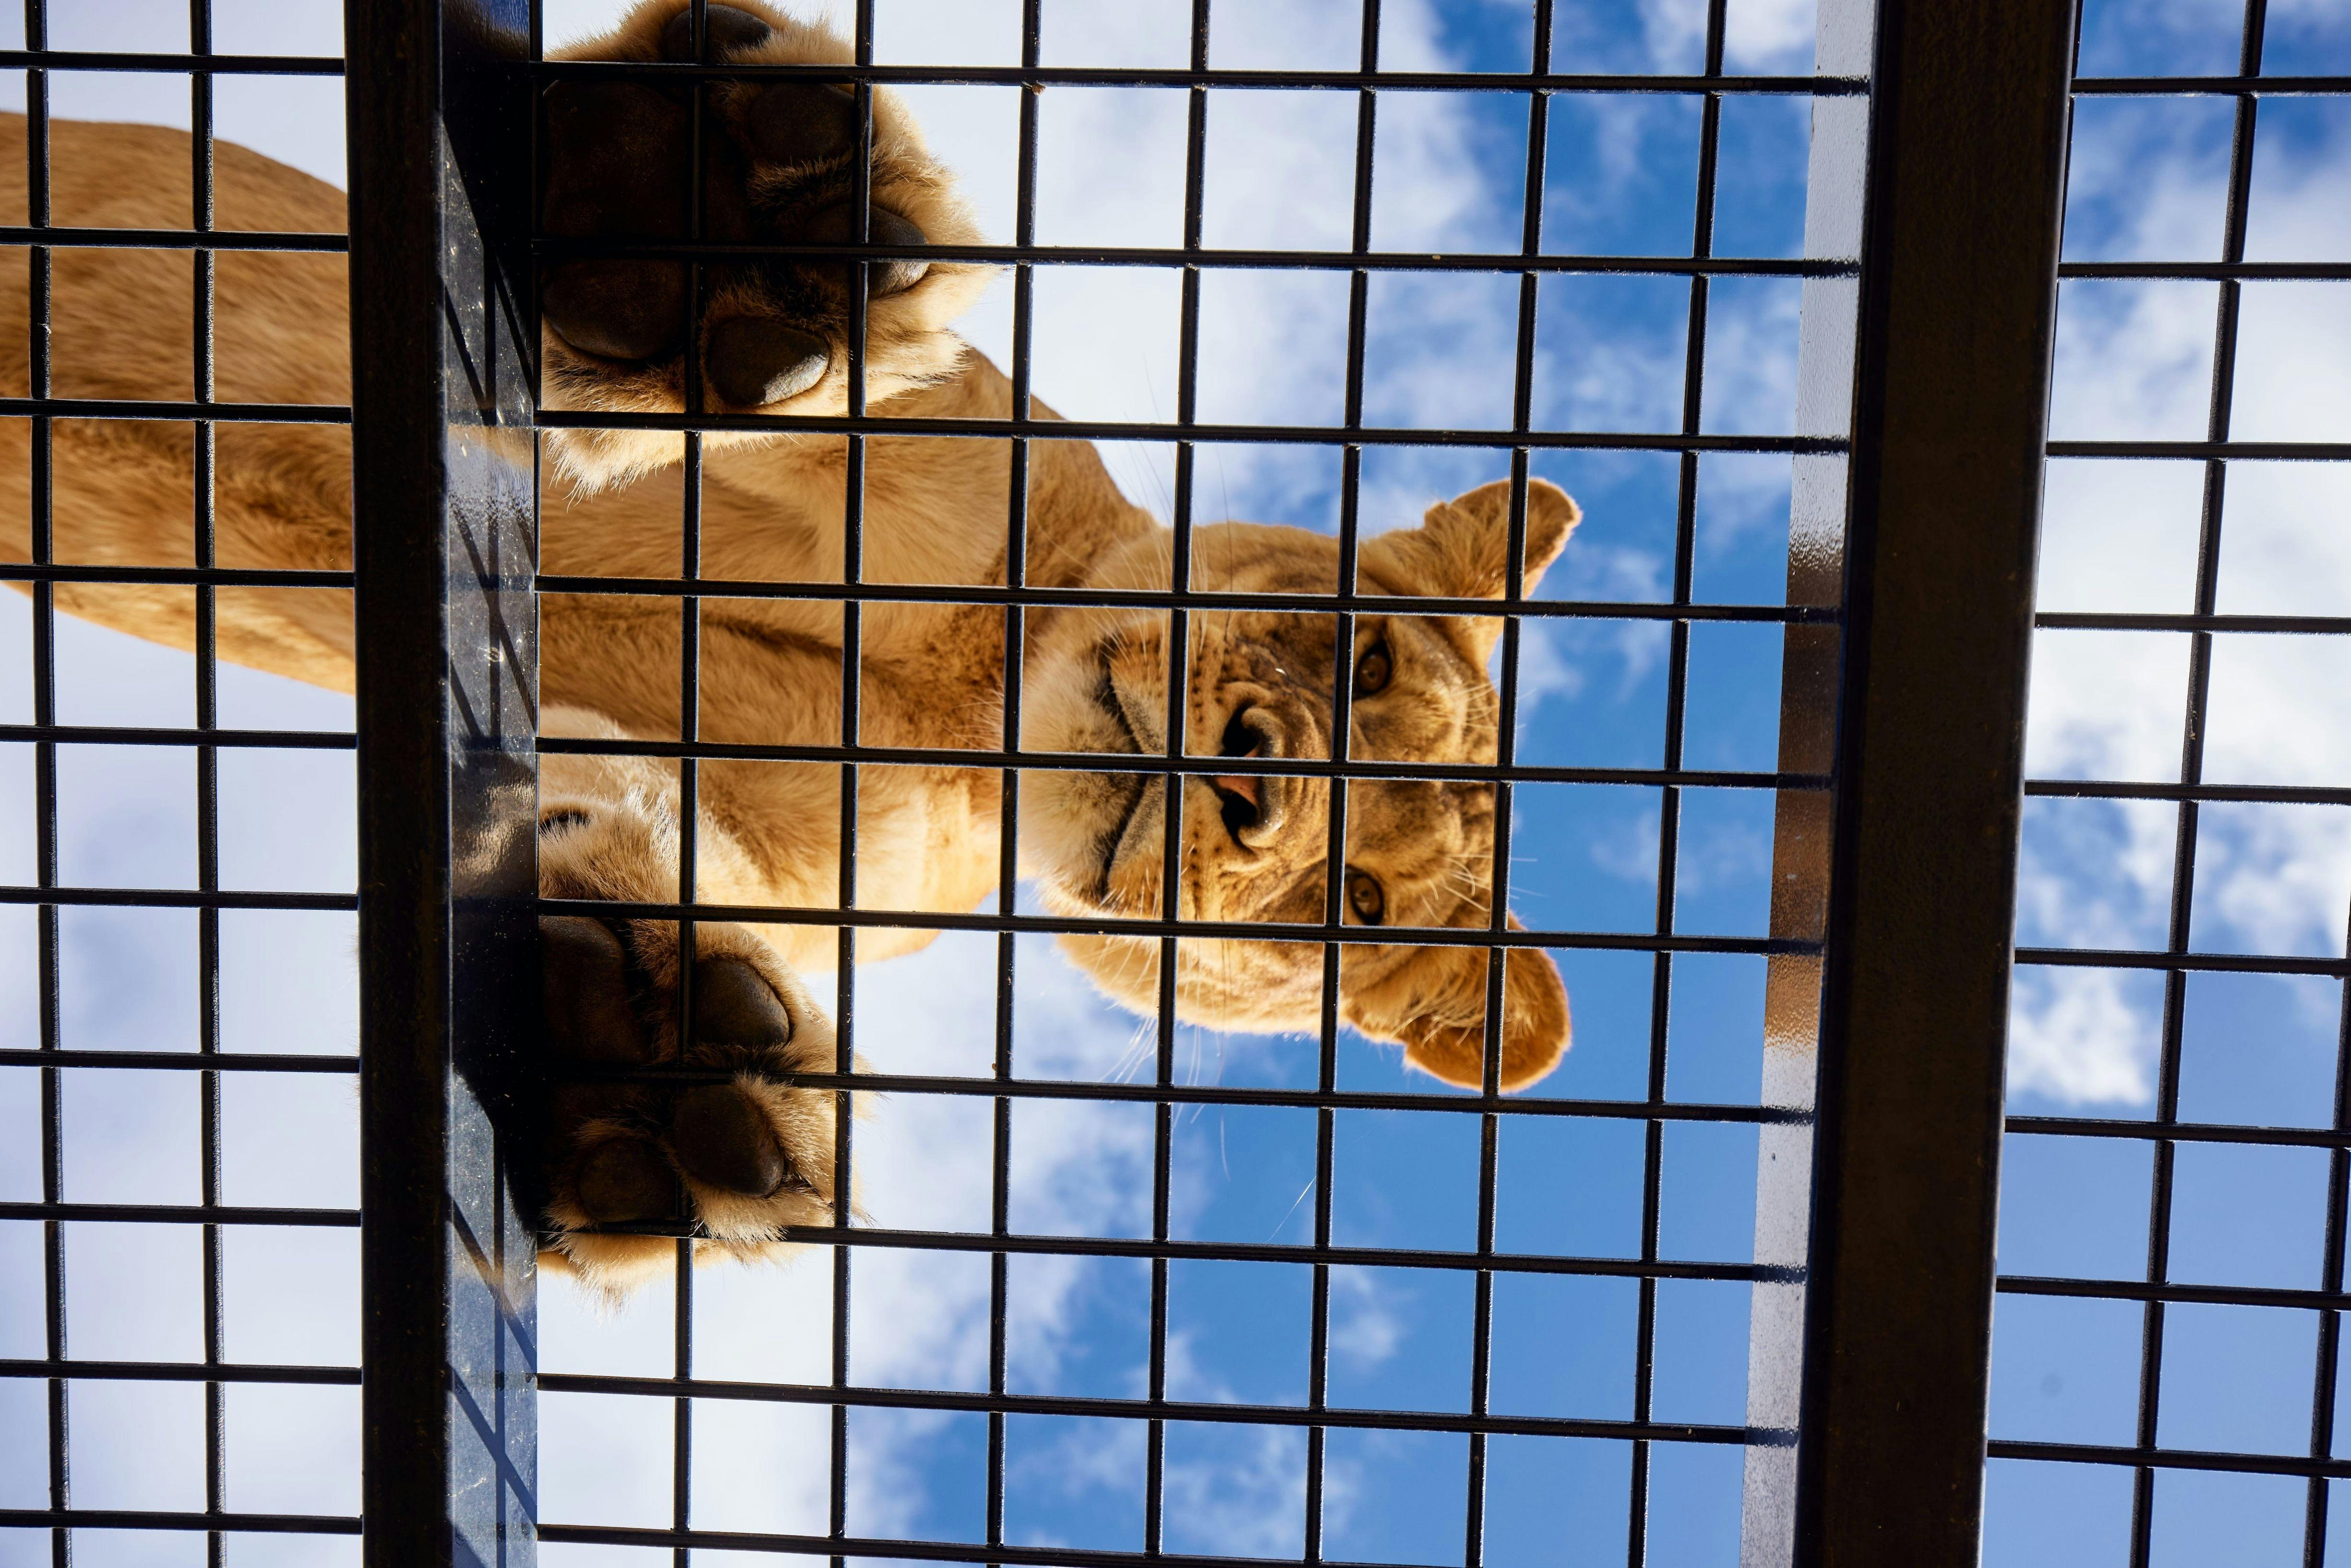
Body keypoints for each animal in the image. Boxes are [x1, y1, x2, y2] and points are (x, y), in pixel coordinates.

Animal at [0, 0, 1577, 1296]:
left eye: (1352, 903)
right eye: (1365, 664)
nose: (1257, 783)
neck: (968, 713)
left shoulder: (782, 840)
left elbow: (659, 832)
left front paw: (647, 1073)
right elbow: (836, 396)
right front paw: (699, 197)